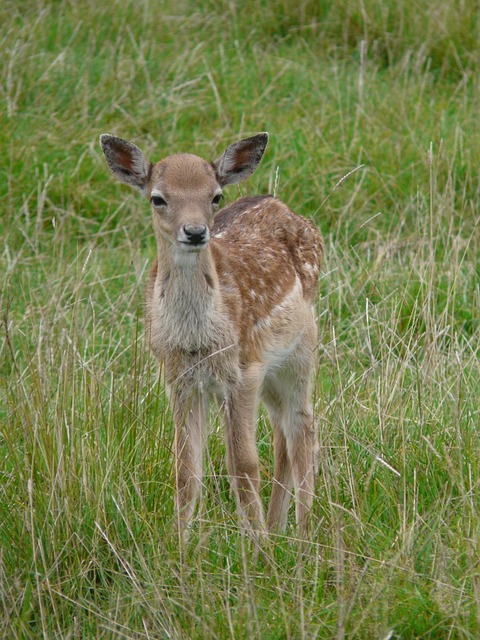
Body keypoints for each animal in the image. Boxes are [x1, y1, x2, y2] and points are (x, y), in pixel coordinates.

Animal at [99, 132, 324, 536]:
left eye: (215, 196)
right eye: (158, 198)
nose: (195, 232)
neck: (196, 339)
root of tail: (285, 207)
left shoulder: (242, 371)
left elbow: (244, 467)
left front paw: (258, 545)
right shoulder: (179, 377)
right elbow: (185, 470)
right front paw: (179, 544)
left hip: (300, 349)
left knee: (303, 430)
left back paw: (302, 535)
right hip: (269, 370)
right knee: (283, 434)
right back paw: (279, 526)